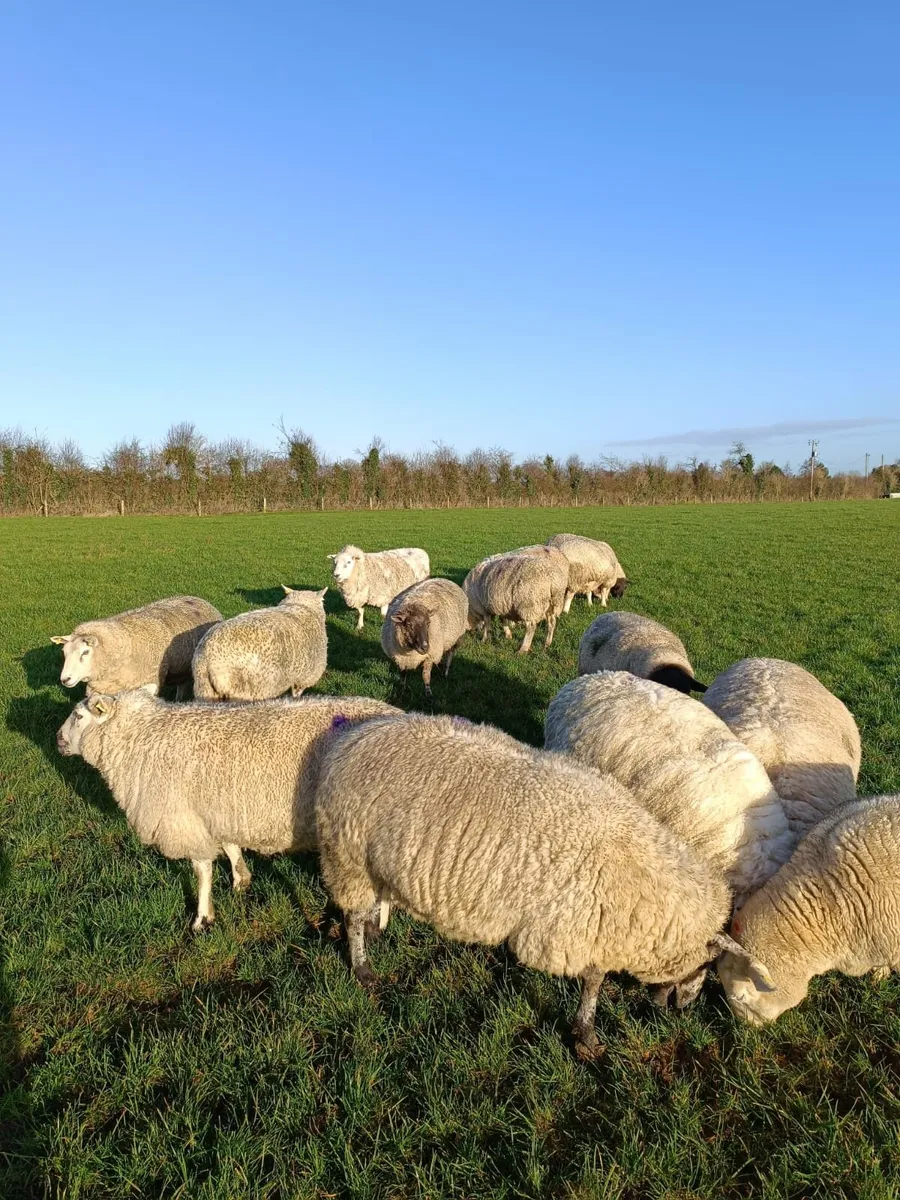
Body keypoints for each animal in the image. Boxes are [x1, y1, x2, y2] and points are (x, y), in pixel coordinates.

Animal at [56, 689, 400, 930]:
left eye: (79, 716)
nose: (57, 739)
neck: (141, 740)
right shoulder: (215, 812)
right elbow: (230, 846)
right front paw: (240, 879)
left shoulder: (186, 820)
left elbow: (202, 872)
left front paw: (202, 918)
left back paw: (379, 921)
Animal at [192, 586, 327, 701]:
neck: (300, 606)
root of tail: (209, 658)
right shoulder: (304, 678)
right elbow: (296, 694)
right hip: (245, 690)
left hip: (204, 688)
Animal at [314, 712, 732, 1058]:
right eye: (707, 964)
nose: (681, 1011)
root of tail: (354, 736)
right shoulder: (575, 926)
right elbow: (594, 980)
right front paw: (586, 1033)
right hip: (347, 855)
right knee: (351, 915)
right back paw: (362, 966)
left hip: (374, 862)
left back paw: (374, 926)